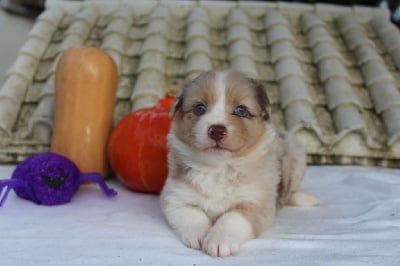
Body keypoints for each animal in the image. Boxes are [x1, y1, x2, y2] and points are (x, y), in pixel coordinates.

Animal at [159, 69, 318, 256]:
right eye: (200, 108)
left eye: (241, 110)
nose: (216, 131)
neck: (217, 168)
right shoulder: (173, 196)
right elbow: (191, 213)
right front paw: (200, 235)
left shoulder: (258, 203)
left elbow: (232, 217)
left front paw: (218, 240)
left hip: (297, 156)